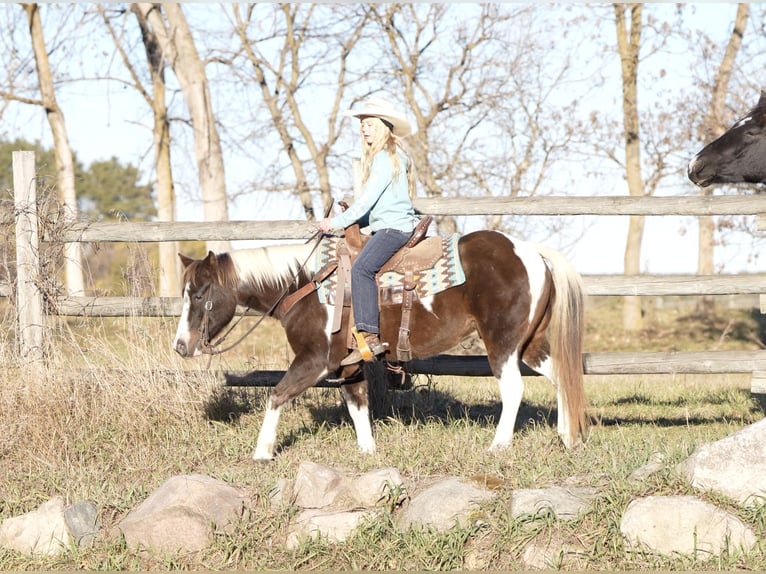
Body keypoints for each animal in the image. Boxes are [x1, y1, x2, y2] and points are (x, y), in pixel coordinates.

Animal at [174, 230, 592, 464]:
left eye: (199, 294)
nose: (180, 346)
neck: (304, 284)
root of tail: (530, 252)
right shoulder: (348, 366)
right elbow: (358, 406)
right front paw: (368, 453)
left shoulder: (316, 360)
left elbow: (277, 394)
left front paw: (262, 452)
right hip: (530, 344)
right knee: (562, 379)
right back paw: (567, 437)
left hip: (502, 343)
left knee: (514, 389)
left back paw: (499, 446)